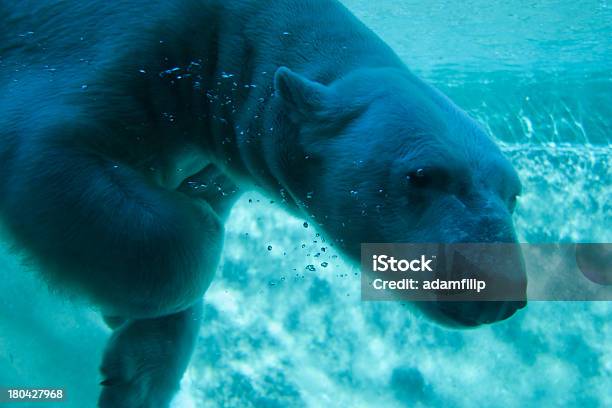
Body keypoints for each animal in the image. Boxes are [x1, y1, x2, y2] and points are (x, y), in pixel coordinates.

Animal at [0, 0, 524, 406]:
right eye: (422, 176)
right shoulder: (110, 45)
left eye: (513, 194)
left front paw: (134, 375)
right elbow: (44, 149)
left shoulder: (215, 153)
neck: (226, 39)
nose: (500, 293)